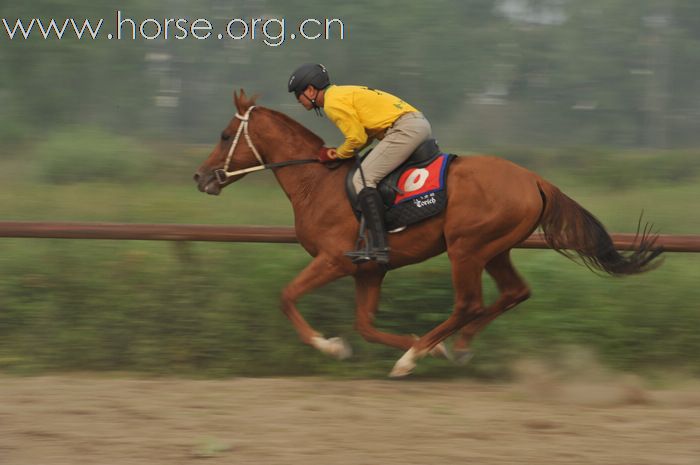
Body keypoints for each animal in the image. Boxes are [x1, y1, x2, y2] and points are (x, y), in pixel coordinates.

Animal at [193, 90, 660, 376]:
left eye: (225, 135)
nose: (200, 177)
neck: (316, 182)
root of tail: (535, 179)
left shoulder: (334, 260)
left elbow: (287, 297)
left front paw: (332, 347)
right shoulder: (369, 270)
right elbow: (365, 325)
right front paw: (425, 346)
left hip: (466, 249)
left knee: (469, 303)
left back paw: (412, 358)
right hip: (494, 249)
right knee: (514, 292)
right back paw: (457, 345)